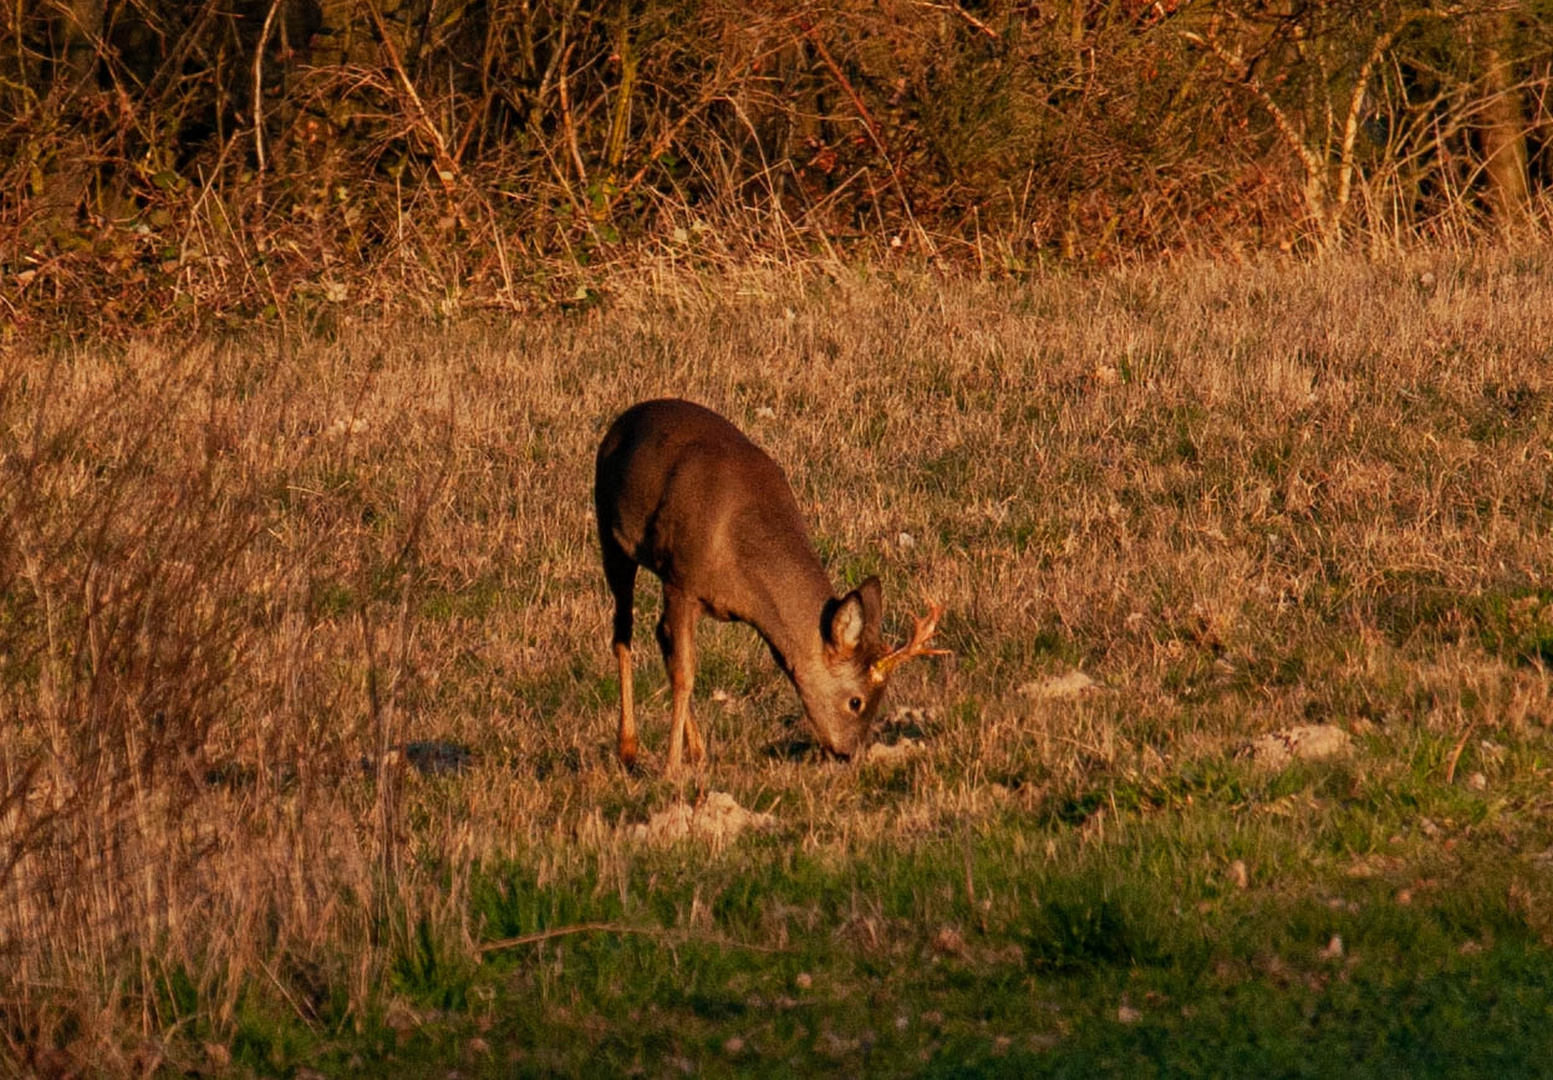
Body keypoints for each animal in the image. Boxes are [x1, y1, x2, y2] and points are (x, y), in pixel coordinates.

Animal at [593, 400, 944, 773]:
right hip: (611, 535)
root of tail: (627, 416)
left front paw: (688, 757)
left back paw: (697, 751)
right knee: (623, 632)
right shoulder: (681, 582)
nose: (849, 753)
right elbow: (684, 674)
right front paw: (671, 767)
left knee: (660, 633)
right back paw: (628, 749)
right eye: (856, 702)